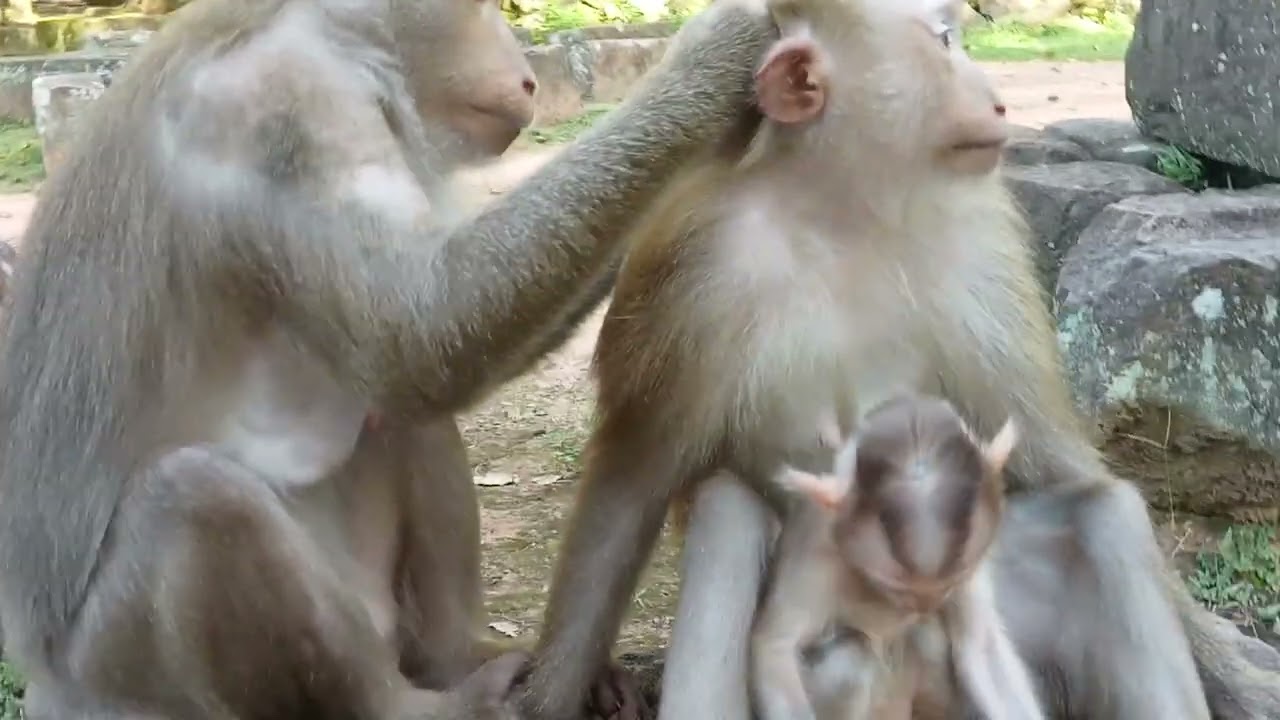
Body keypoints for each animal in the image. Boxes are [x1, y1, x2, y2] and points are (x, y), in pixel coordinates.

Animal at [0, 0, 780, 717]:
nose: (528, 76)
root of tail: (50, 688)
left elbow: (423, 351)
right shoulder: (294, 107)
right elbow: (425, 330)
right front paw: (711, 61)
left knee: (391, 415)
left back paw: (455, 652)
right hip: (127, 669)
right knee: (195, 499)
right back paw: (424, 707)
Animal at [750, 395, 1043, 720]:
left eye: (950, 587)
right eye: (895, 588)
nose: (924, 606)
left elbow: (981, 648)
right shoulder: (818, 554)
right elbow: (775, 649)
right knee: (852, 657)